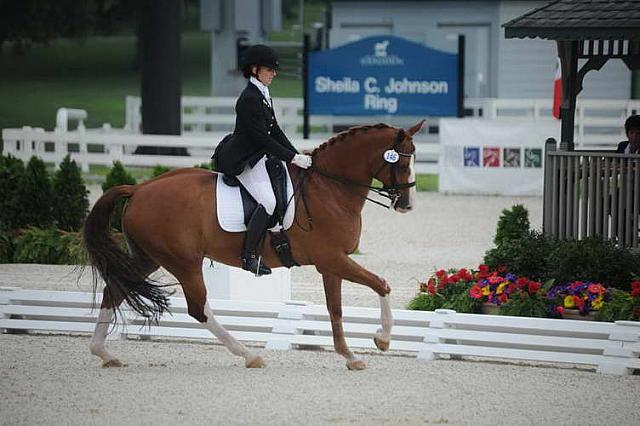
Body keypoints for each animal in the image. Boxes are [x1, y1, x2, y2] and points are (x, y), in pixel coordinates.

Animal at [84, 119, 424, 370]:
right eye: (400, 162)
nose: (407, 204)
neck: (329, 188)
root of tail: (139, 189)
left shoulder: (332, 264)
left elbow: (336, 309)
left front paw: (351, 357)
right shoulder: (331, 258)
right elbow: (381, 284)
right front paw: (382, 339)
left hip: (149, 257)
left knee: (114, 291)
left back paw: (105, 354)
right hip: (183, 261)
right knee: (199, 309)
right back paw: (249, 355)